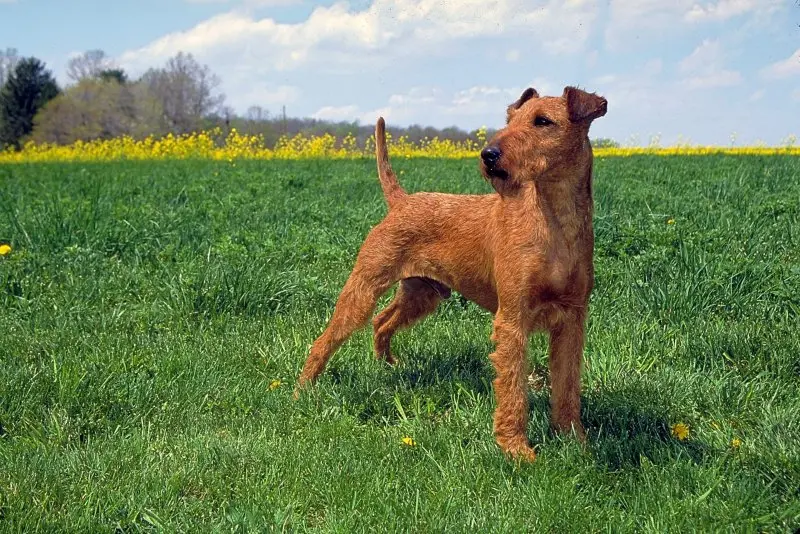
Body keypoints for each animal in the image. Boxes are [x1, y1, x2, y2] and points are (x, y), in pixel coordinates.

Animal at [294, 86, 608, 462]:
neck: (556, 223)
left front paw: (575, 441)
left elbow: (567, 386)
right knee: (325, 339)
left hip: (423, 292)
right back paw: (301, 391)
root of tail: (401, 201)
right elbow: (513, 388)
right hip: (365, 286)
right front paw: (517, 450)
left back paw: (388, 366)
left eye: (543, 121)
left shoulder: (571, 319)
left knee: (382, 321)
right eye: (511, 119)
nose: (488, 154)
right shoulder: (513, 319)